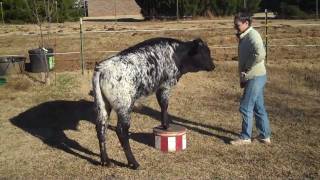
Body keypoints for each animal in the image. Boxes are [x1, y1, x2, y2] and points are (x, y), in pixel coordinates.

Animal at [92, 37, 215, 169]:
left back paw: (105, 161)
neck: (176, 53)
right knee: (121, 131)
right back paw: (133, 162)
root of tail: (103, 68)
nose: (213, 66)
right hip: (125, 106)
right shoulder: (165, 86)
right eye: (204, 52)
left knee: (101, 128)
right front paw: (166, 125)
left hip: (103, 105)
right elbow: (164, 105)